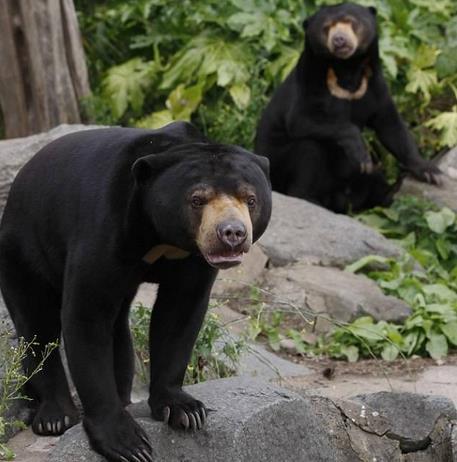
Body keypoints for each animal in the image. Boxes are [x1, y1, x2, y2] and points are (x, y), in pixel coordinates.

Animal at [0, 122, 270, 462]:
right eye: (197, 199)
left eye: (250, 199)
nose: (232, 234)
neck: (162, 239)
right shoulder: (106, 228)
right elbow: (87, 316)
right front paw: (128, 443)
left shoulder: (193, 260)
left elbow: (180, 314)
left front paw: (185, 410)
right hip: (23, 247)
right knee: (36, 322)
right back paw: (55, 417)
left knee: (117, 329)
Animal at [255, 1, 440, 213]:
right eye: (326, 27)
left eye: (351, 22)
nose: (339, 40)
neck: (347, 68)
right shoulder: (311, 81)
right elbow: (301, 119)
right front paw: (362, 155)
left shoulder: (374, 87)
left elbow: (391, 127)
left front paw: (430, 172)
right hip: (280, 167)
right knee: (309, 148)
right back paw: (309, 198)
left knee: (373, 179)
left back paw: (389, 193)